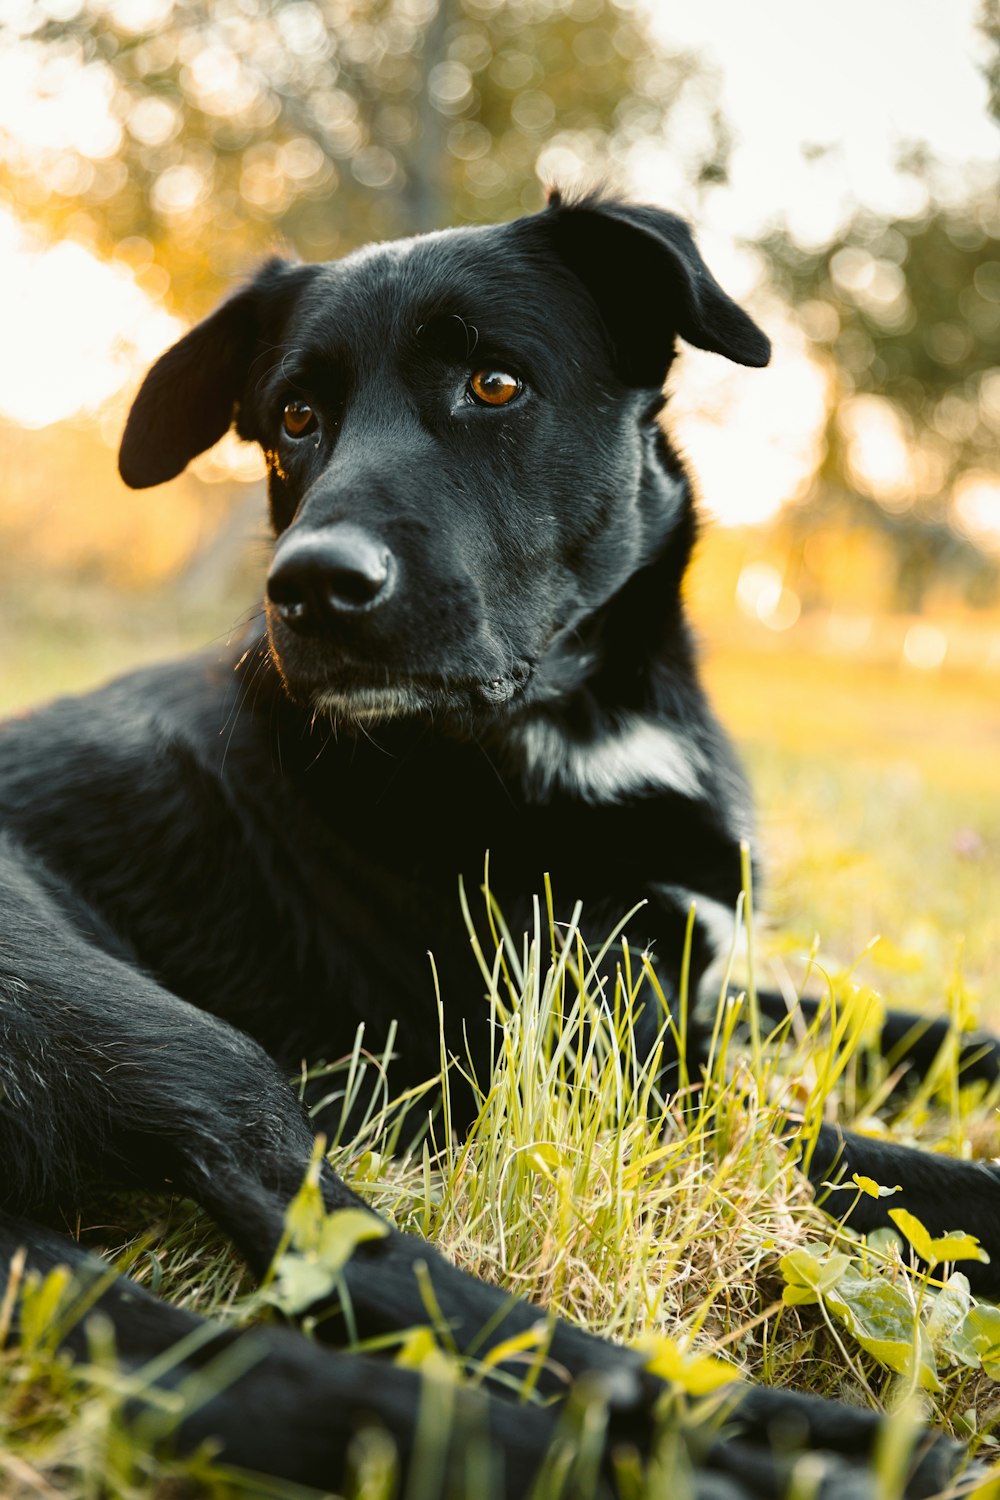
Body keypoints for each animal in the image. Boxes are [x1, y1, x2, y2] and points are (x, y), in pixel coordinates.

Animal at [1, 193, 1000, 1494]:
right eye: (294, 419)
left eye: (493, 383)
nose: (310, 588)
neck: (575, 728)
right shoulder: (603, 1081)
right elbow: (903, 1168)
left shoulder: (691, 991)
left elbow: (917, 1035)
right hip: (170, 1042)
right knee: (372, 1268)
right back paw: (782, 1450)